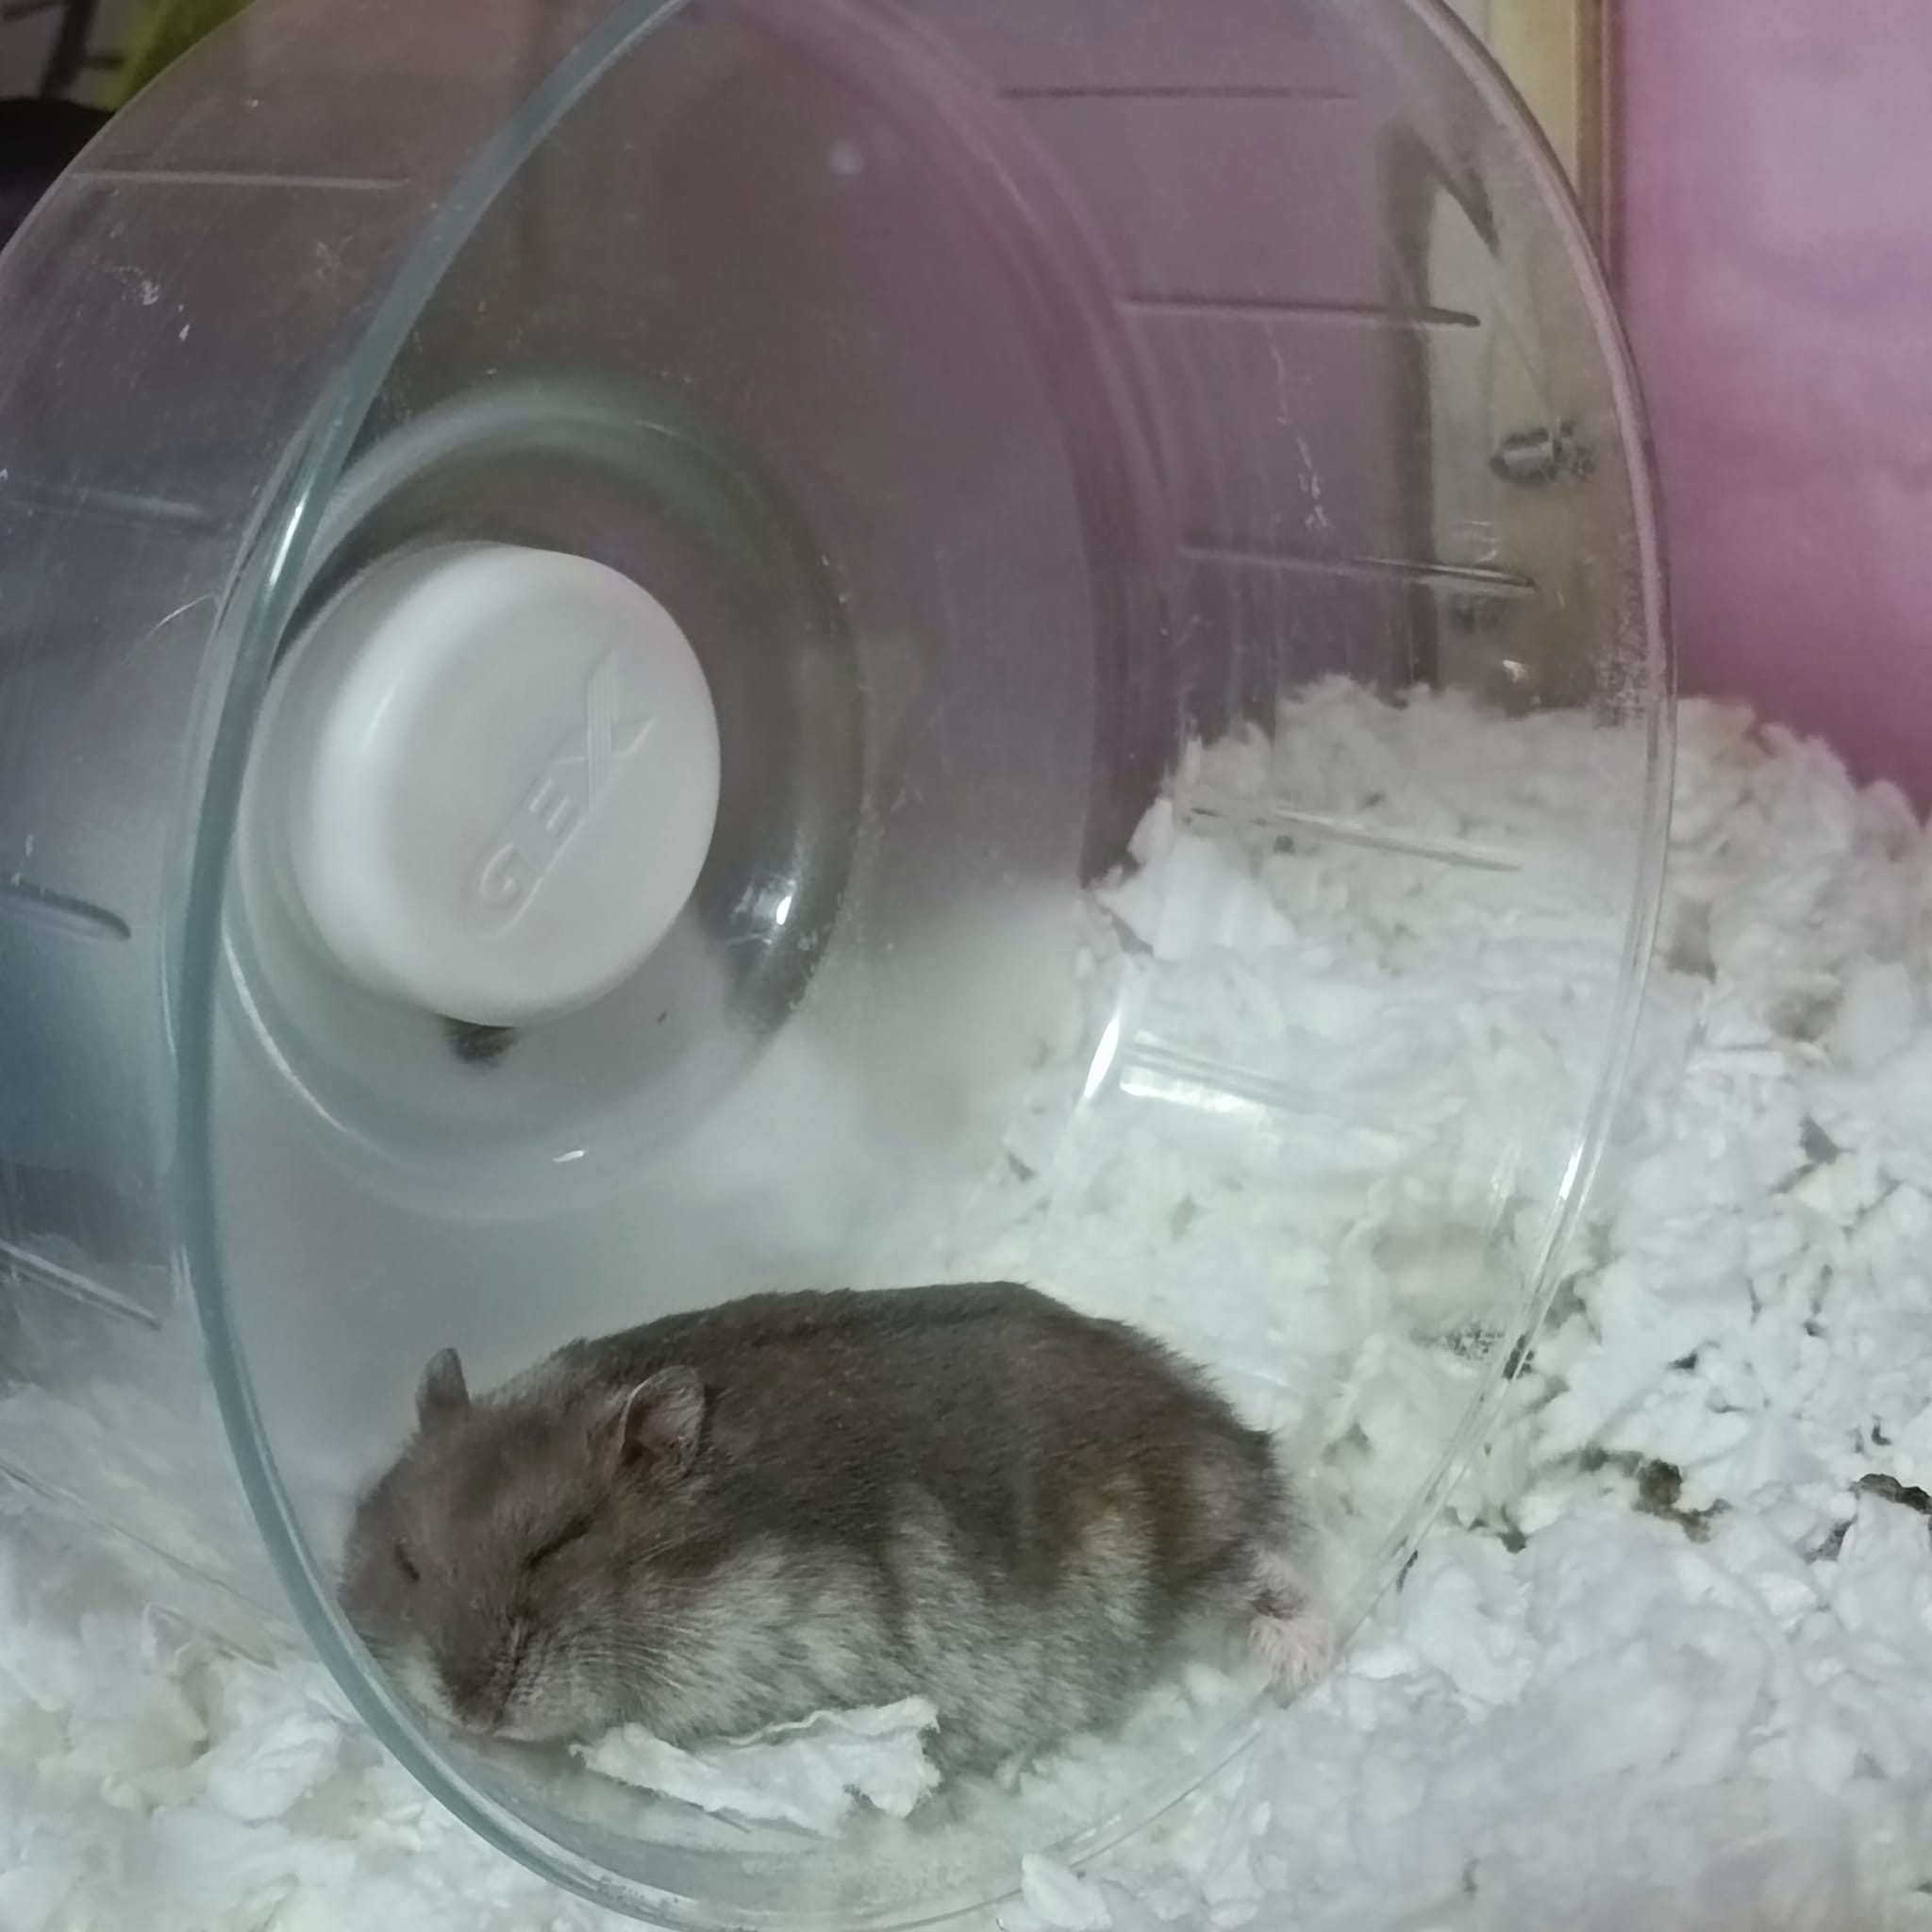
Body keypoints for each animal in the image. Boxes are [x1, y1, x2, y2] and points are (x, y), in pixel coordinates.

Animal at [340, 1282, 1330, 1775]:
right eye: (407, 1562)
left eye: (560, 1542)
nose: (471, 1715)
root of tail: (1229, 1430)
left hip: (1180, 1546)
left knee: (1260, 1571)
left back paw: (1306, 1662)